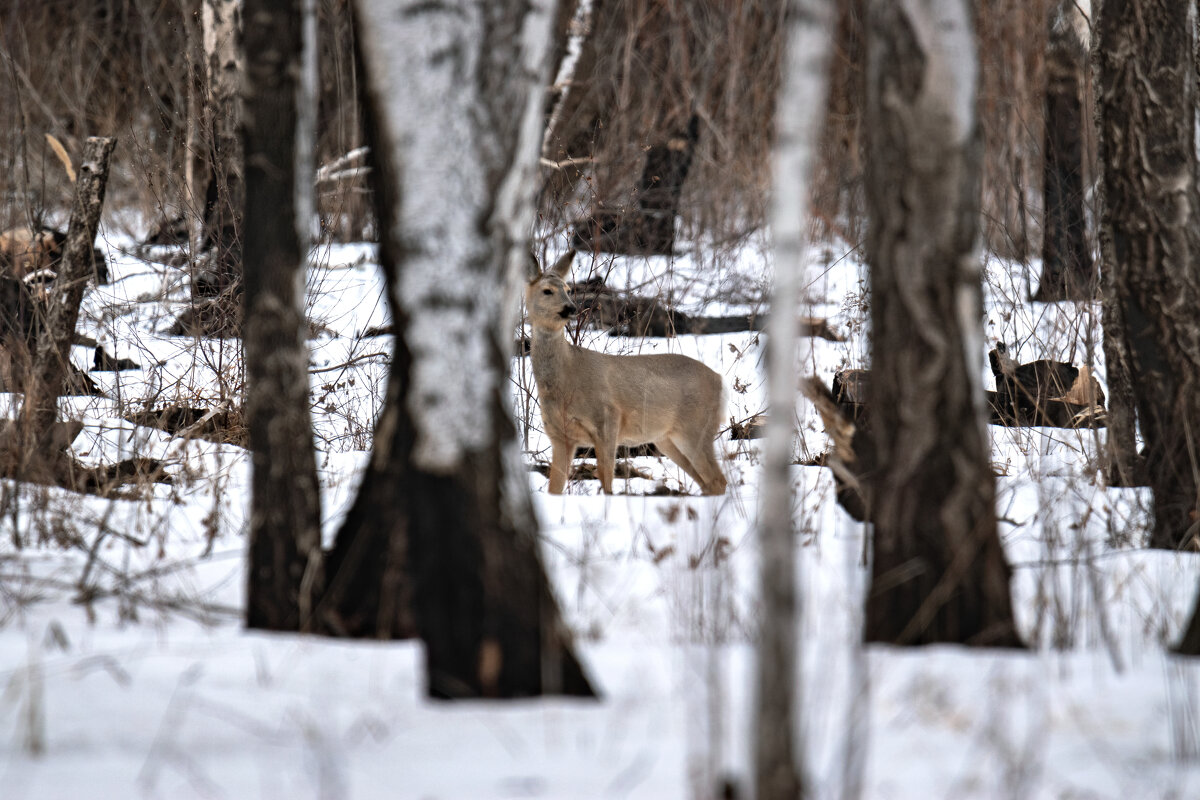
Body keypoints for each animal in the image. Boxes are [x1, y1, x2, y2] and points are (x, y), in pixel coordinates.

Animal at [528, 250, 729, 494]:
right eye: (547, 290)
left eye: (568, 289)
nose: (571, 308)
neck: (567, 374)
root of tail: (721, 381)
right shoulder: (559, 435)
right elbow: (554, 488)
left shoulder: (608, 418)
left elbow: (606, 481)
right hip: (667, 438)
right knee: (707, 482)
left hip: (696, 427)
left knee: (718, 480)